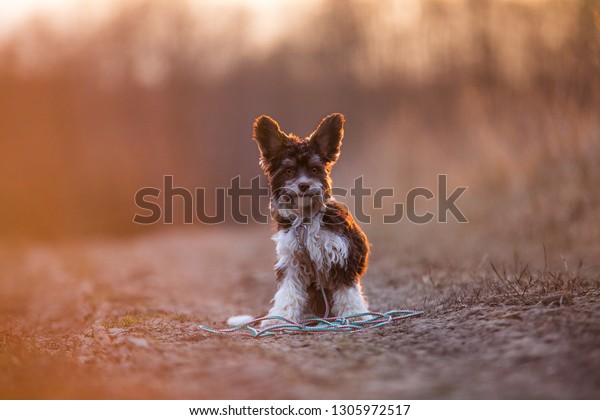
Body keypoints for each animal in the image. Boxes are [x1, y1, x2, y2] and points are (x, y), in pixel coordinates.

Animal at [250, 113, 370, 326]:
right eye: (289, 171)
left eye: (314, 170)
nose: (304, 185)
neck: (306, 219)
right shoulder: (291, 262)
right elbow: (288, 293)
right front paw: (281, 317)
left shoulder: (345, 255)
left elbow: (347, 292)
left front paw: (354, 314)